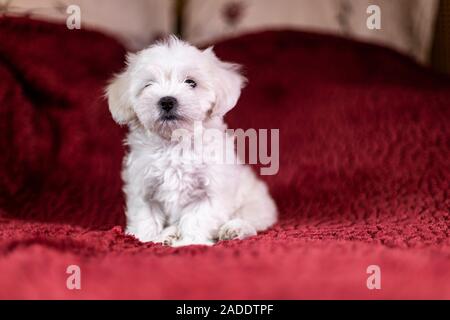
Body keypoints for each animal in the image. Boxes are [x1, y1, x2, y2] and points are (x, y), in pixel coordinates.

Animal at [107, 37, 276, 248]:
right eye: (148, 85)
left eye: (191, 82)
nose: (167, 101)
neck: (175, 143)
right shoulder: (143, 189)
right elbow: (146, 217)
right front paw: (144, 239)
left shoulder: (209, 192)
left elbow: (196, 219)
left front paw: (189, 243)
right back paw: (168, 235)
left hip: (254, 203)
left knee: (250, 220)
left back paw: (234, 229)